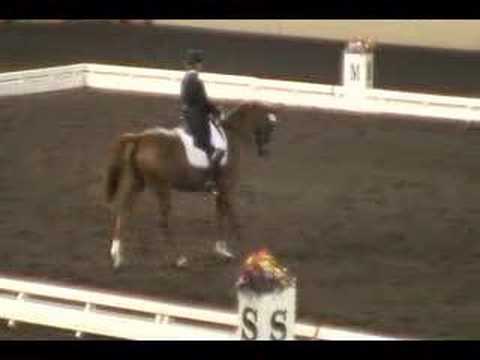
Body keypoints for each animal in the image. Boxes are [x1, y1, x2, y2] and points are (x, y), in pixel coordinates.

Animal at [105, 100, 278, 268]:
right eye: (270, 125)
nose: (265, 151)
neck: (231, 135)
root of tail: (140, 138)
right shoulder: (227, 188)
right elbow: (232, 216)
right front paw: (245, 247)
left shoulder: (220, 190)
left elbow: (220, 216)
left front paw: (222, 250)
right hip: (162, 187)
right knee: (162, 222)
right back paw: (179, 259)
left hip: (139, 183)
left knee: (124, 213)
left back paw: (117, 257)